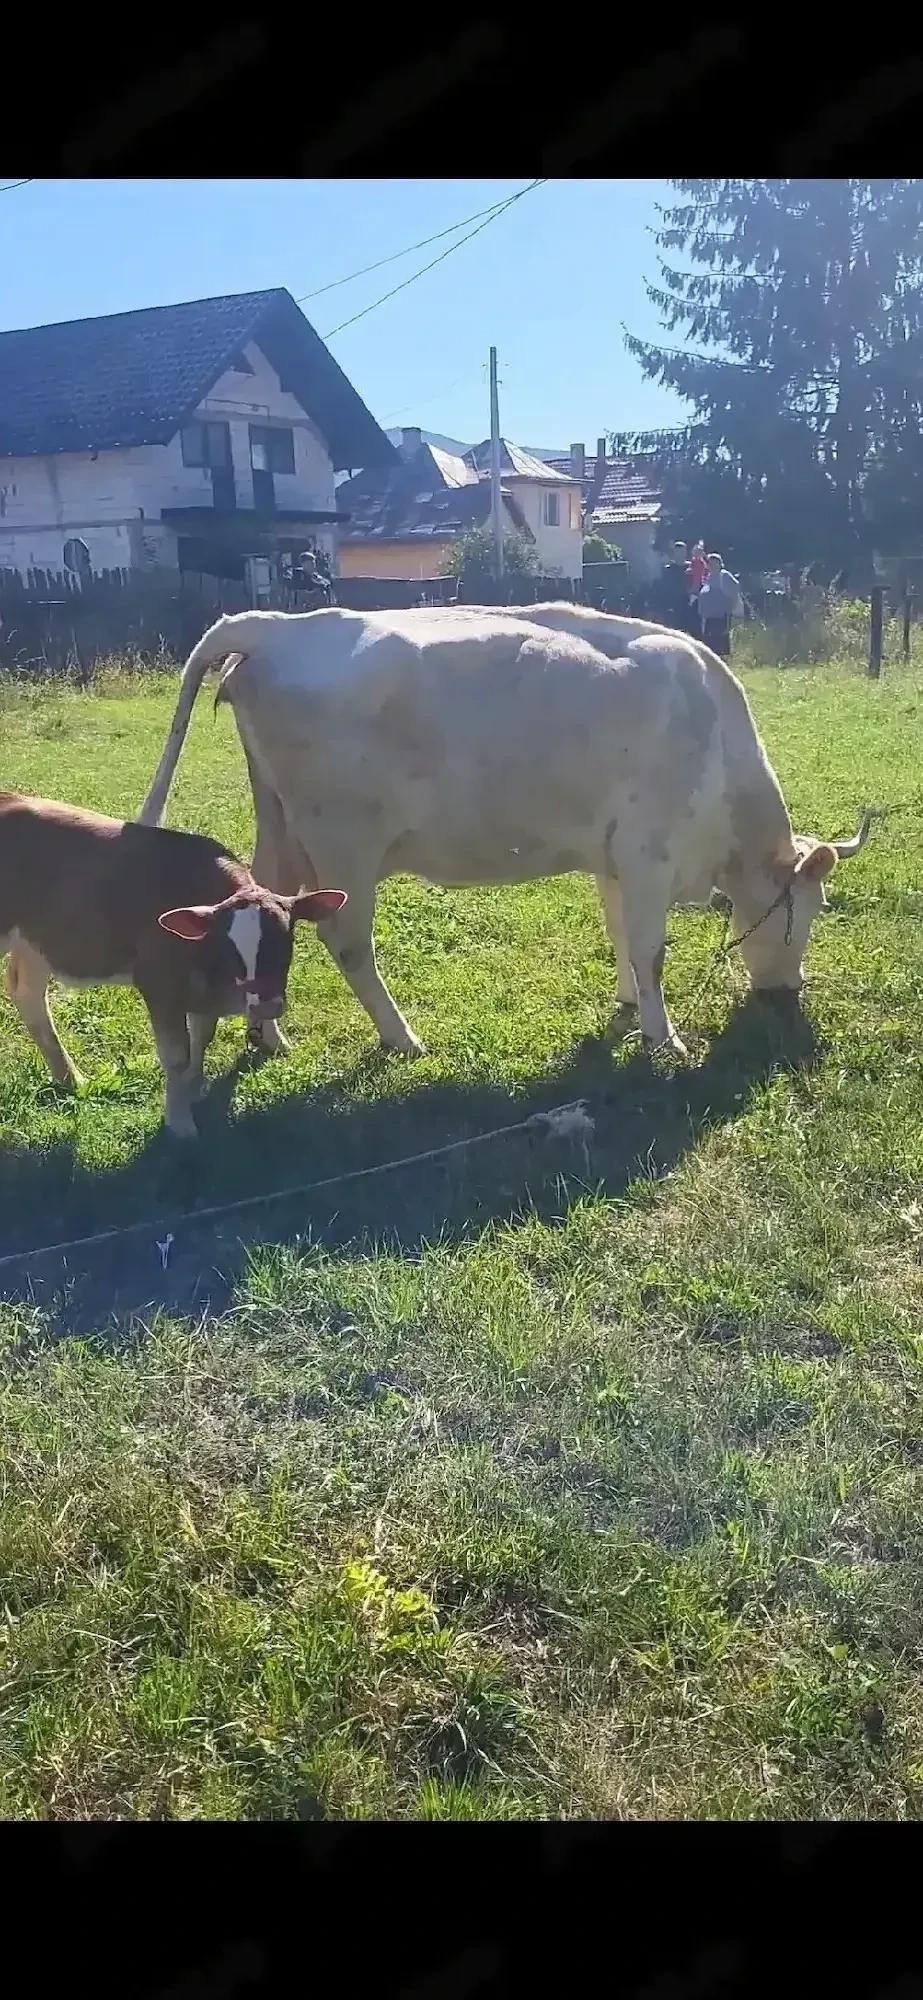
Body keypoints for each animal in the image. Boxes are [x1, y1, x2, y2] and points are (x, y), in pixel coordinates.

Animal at [0, 790, 346, 1138]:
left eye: (283, 942)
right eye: (230, 948)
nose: (266, 1005)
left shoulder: (202, 993)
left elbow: (201, 1037)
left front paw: (194, 1088)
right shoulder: (159, 983)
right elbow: (176, 1054)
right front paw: (180, 1122)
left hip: (36, 941)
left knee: (27, 993)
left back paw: (69, 1078)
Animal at [137, 607, 870, 1061]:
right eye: (807, 912)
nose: (787, 991)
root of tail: (278, 626)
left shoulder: (614, 856)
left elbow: (620, 937)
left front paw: (628, 1005)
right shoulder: (648, 851)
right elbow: (650, 948)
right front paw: (664, 1039)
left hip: (281, 827)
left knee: (267, 905)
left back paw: (270, 1037)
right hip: (344, 843)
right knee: (347, 942)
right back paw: (401, 1037)